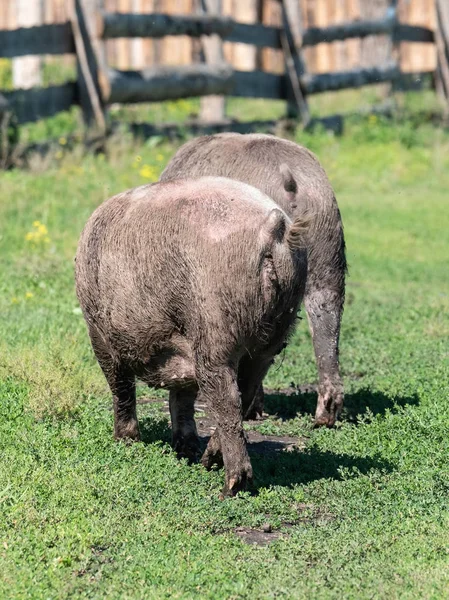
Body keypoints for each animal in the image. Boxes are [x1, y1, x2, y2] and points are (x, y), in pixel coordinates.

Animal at [76, 176, 308, 494]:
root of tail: (273, 227)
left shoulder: (99, 333)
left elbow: (121, 387)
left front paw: (126, 442)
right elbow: (182, 396)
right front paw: (184, 448)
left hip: (214, 326)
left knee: (226, 397)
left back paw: (230, 486)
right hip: (273, 336)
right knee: (245, 390)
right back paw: (206, 460)